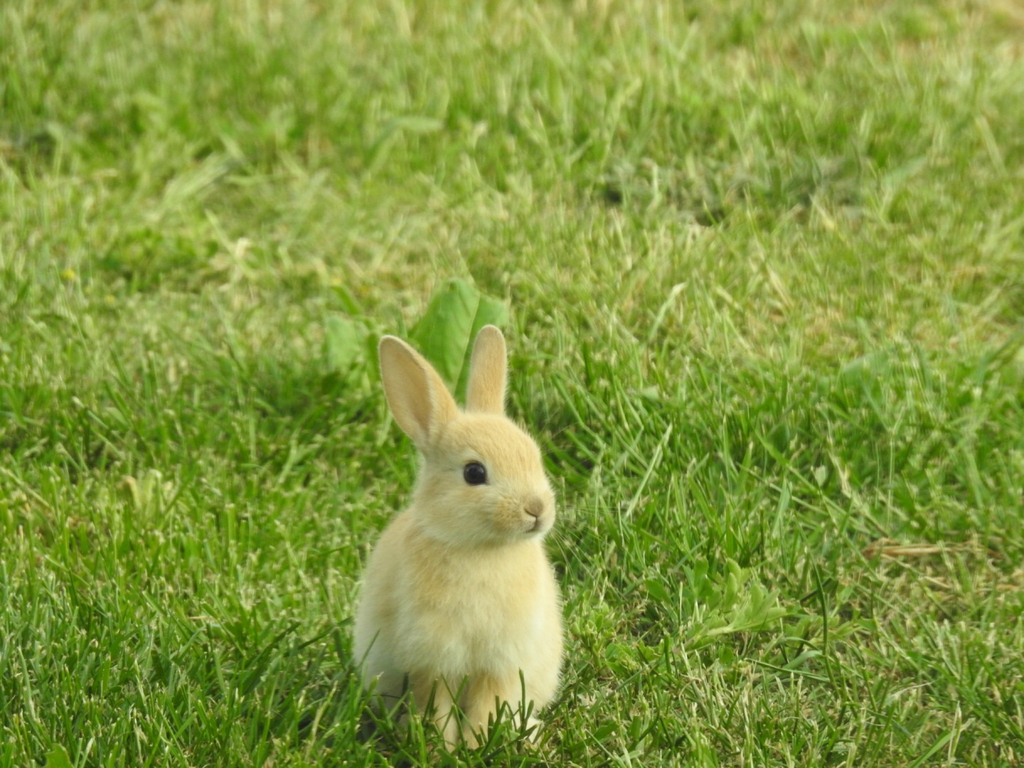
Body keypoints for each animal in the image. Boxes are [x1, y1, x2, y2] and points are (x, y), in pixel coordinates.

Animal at [353, 325, 563, 748]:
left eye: (534, 456)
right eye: (474, 473)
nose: (536, 510)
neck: (481, 549)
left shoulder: (501, 661)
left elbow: (489, 702)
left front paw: (477, 742)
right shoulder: (433, 659)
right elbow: (439, 703)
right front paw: (443, 745)